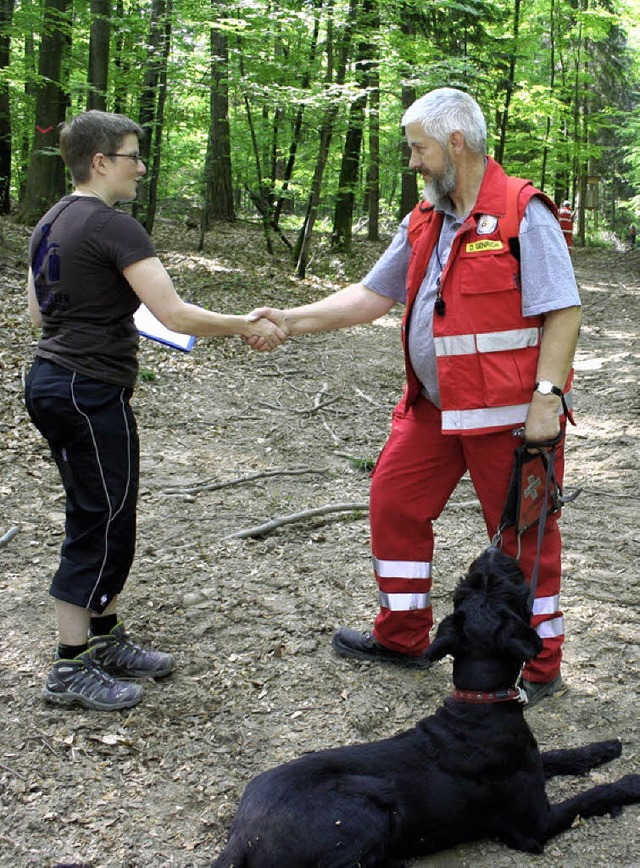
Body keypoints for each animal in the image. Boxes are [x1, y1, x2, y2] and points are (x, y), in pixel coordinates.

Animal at [211, 552, 640, 864]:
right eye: (501, 589)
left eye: (473, 586)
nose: (492, 552)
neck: (480, 704)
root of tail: (241, 838)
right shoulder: (534, 825)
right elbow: (593, 795)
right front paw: (630, 783)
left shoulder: (532, 762)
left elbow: (561, 755)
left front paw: (605, 748)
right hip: (367, 813)